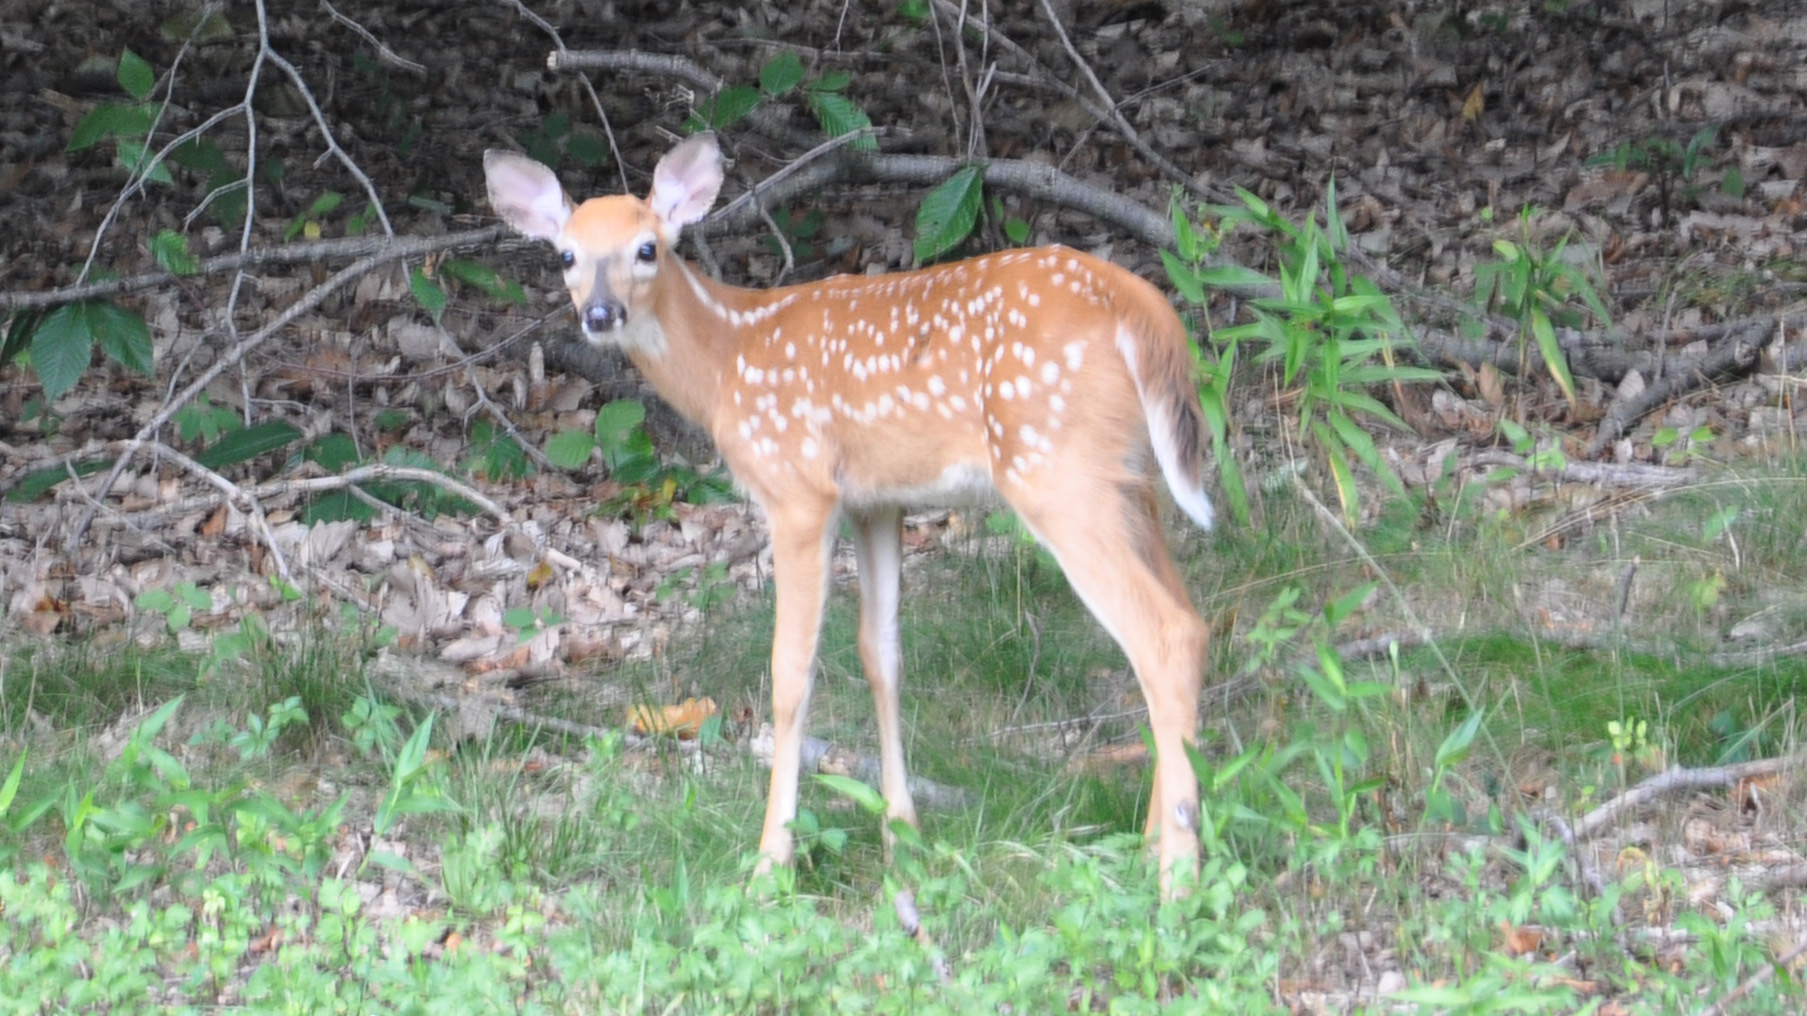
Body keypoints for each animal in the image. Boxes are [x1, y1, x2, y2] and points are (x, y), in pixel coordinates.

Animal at [483, 132, 1214, 891]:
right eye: (567, 255)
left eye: (647, 248)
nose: (600, 316)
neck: (727, 361)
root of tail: (1141, 306)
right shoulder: (878, 502)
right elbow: (880, 654)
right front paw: (902, 838)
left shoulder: (799, 490)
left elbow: (791, 671)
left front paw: (770, 862)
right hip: (1131, 479)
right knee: (1185, 620)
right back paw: (1150, 845)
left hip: (1054, 469)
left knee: (1165, 633)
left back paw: (1175, 876)